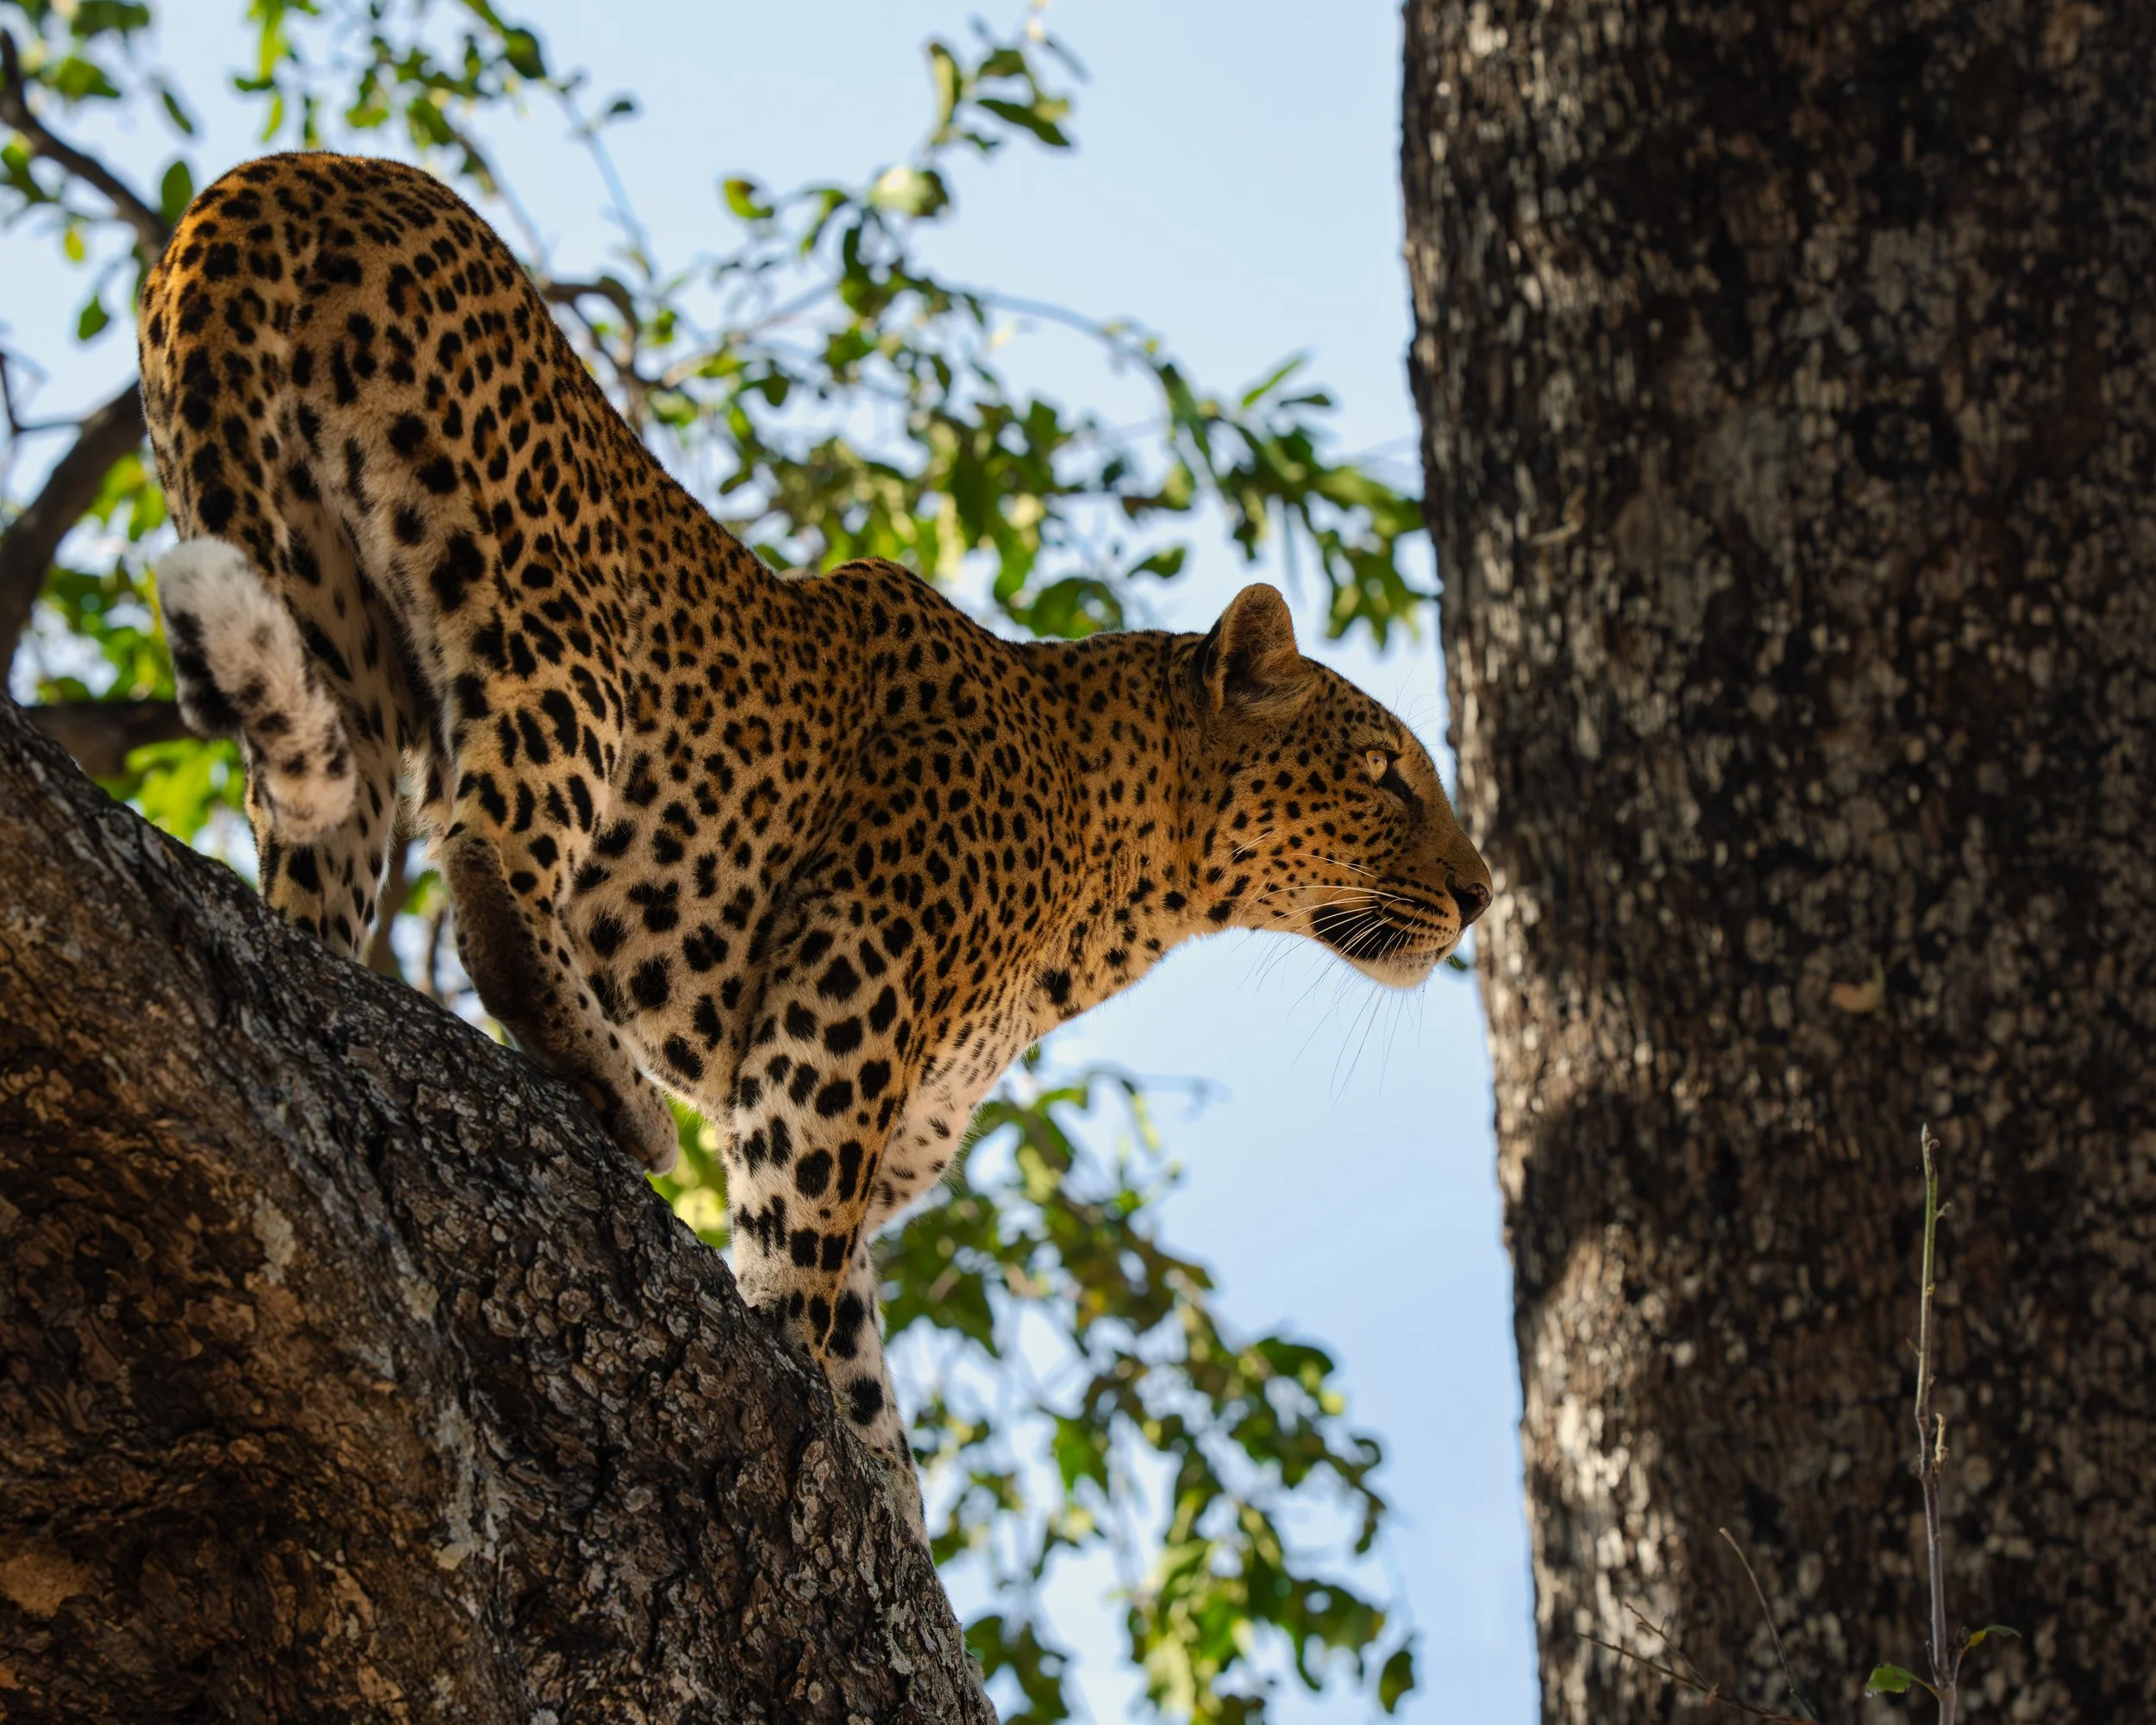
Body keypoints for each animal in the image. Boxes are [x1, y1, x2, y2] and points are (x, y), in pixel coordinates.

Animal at [136, 151, 1493, 1527]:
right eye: (1385, 774)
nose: (1483, 894)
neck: (1124, 881)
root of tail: (285, 174)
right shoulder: (845, 994)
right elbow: (801, 1261)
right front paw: (807, 1417)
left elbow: (862, 1358)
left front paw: (885, 1491)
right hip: (559, 627)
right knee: (492, 868)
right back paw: (623, 1101)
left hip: (325, 623)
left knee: (315, 882)